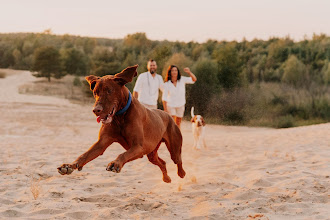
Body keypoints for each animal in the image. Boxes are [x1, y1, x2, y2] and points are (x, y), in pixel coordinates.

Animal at [57, 64, 186, 183]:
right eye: (95, 92)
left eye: (109, 90)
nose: (95, 110)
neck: (120, 116)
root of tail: (168, 115)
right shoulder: (101, 143)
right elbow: (84, 155)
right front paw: (69, 166)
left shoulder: (138, 147)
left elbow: (122, 154)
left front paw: (115, 163)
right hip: (151, 153)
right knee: (162, 162)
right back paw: (166, 178)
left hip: (173, 147)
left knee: (178, 160)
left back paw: (182, 173)